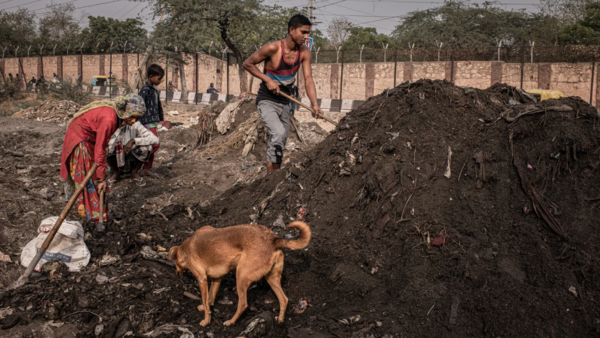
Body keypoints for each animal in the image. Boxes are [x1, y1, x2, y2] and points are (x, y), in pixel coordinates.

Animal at [168, 220, 312, 326]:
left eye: (175, 263)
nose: (176, 273)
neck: (186, 249)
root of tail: (273, 239)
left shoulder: (201, 279)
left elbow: (205, 298)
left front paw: (205, 320)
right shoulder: (216, 279)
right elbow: (210, 297)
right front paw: (206, 307)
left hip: (241, 276)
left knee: (243, 304)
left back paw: (231, 322)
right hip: (272, 278)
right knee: (284, 299)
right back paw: (280, 320)